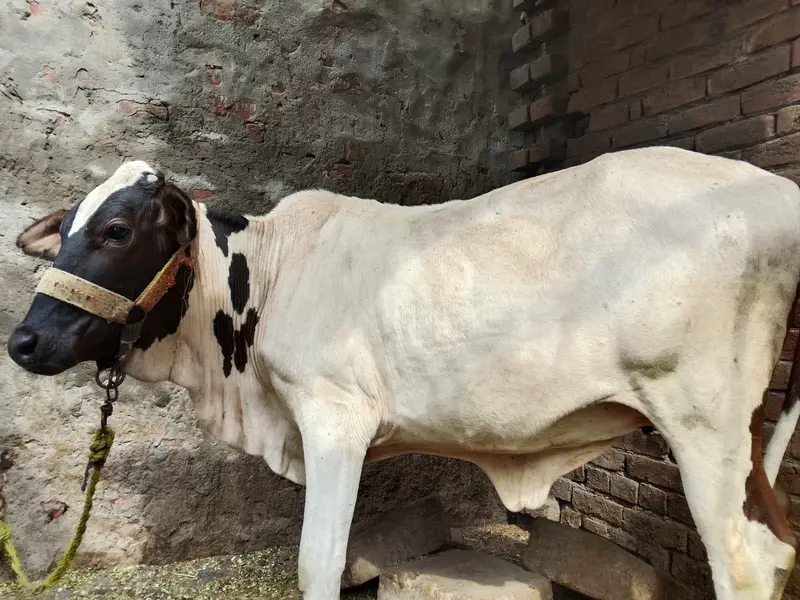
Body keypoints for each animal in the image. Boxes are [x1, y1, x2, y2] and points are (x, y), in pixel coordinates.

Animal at [6, 146, 800, 600]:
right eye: (65, 229)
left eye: (115, 230)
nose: (23, 341)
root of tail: (775, 191)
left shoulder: (334, 421)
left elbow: (318, 562)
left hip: (705, 422)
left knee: (744, 562)